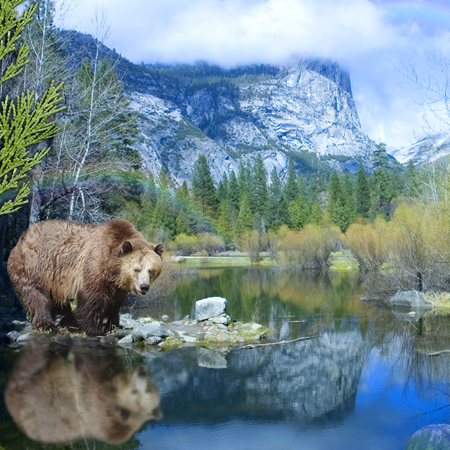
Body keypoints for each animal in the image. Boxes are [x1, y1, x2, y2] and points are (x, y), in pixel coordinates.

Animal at [6, 216, 163, 336]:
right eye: (136, 269)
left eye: (151, 270)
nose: (144, 287)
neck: (112, 268)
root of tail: (21, 239)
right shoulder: (96, 264)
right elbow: (92, 296)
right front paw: (94, 328)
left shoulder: (117, 286)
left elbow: (114, 303)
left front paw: (113, 324)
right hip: (33, 266)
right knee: (37, 297)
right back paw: (48, 325)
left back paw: (66, 320)